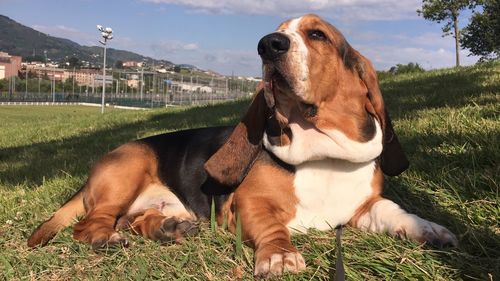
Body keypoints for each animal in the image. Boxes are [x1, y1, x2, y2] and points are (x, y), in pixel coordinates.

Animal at [26, 14, 458, 278]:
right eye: (277, 33)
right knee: (90, 224)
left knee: (133, 219)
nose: (268, 45)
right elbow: (271, 226)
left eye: (317, 34)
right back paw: (108, 237)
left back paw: (169, 227)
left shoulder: (363, 207)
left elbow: (392, 211)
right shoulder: (247, 204)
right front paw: (279, 254)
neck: (322, 153)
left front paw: (428, 229)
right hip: (126, 172)